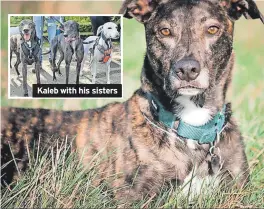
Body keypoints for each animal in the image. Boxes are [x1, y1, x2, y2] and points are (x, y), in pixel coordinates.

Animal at [1, 0, 262, 205]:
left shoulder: (238, 195)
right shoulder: (136, 198)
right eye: (164, 32)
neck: (192, 127)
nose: (187, 70)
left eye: (212, 29)